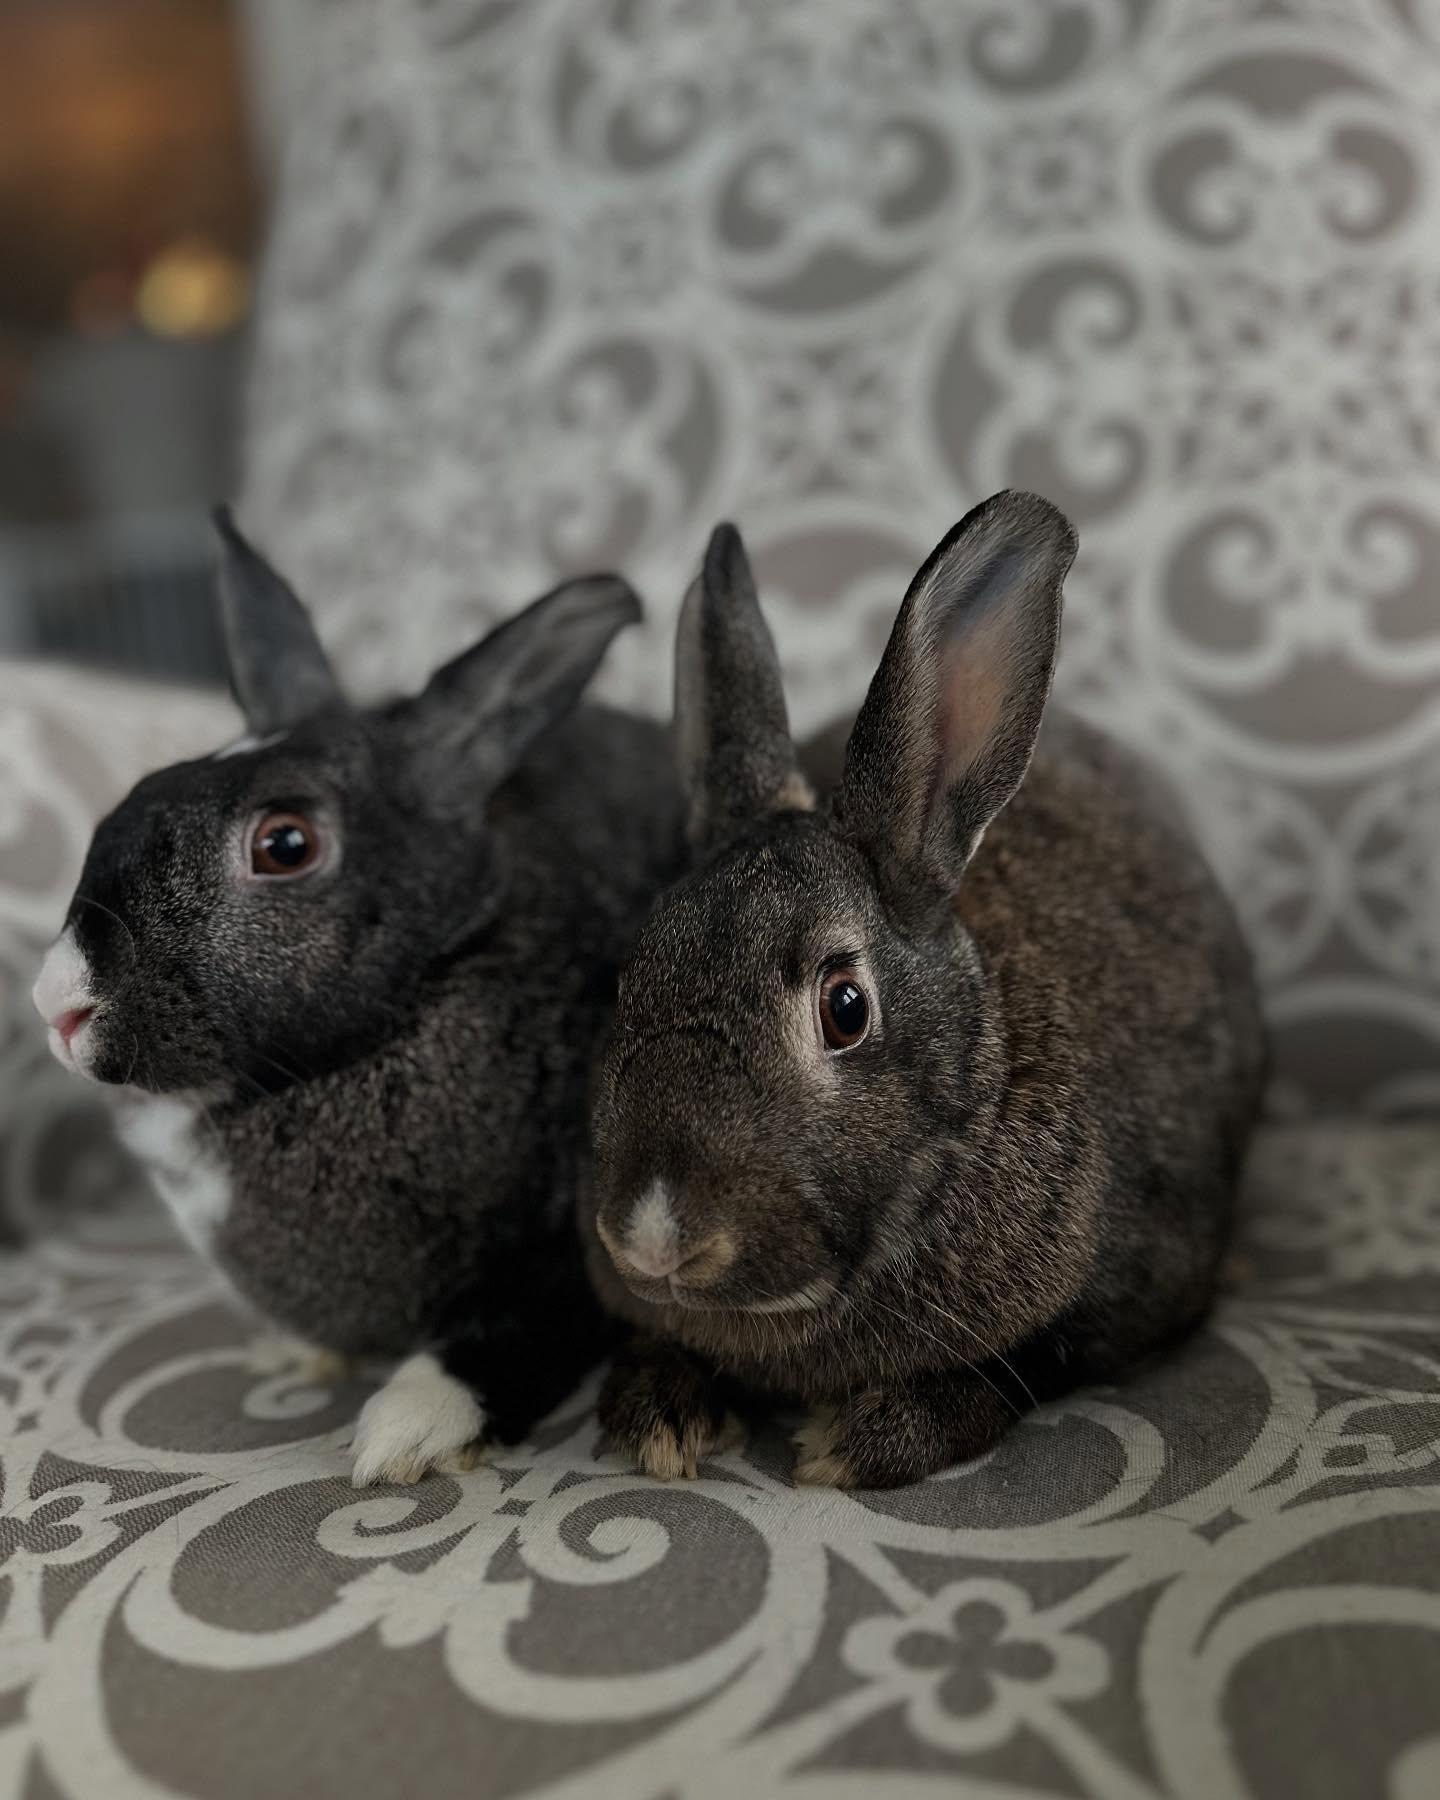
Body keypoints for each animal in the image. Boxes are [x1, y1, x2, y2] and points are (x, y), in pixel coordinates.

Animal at [32, 510, 686, 1486]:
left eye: (286, 844)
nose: (56, 1002)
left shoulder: (584, 1248)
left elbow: (511, 1338)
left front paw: (401, 1434)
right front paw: (297, 1355)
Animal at [584, 490, 1267, 1489]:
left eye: (845, 1009)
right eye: (627, 977)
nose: (654, 1237)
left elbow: (1023, 1367)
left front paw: (861, 1441)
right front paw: (658, 1416)